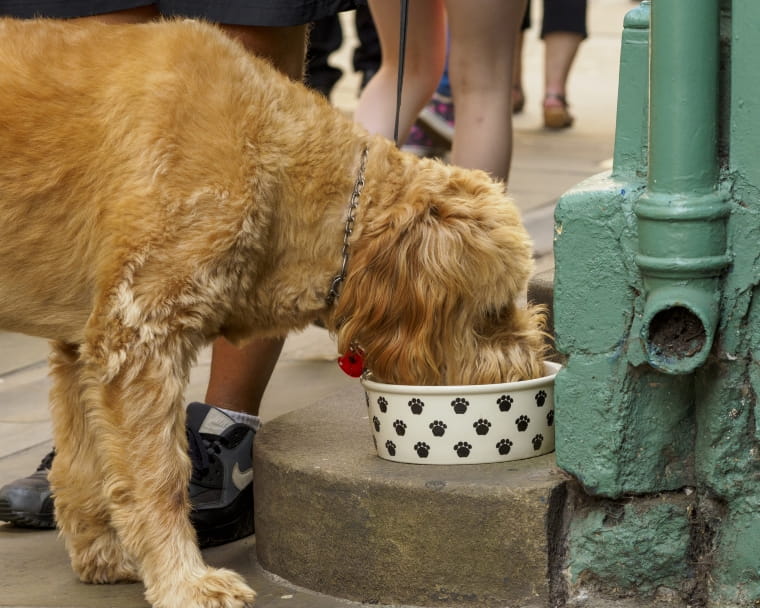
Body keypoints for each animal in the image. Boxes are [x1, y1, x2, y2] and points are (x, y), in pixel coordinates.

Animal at [0, 16, 548, 608]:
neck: (275, 161)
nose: (530, 370)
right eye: (492, 312)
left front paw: (102, 556)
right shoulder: (140, 336)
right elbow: (159, 476)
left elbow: (83, 465)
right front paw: (184, 580)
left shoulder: (82, 346)